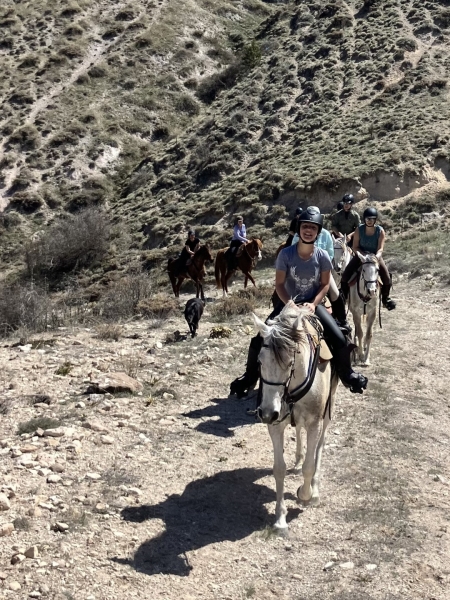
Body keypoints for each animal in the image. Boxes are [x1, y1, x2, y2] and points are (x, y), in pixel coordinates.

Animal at [253, 302, 338, 532]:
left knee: (320, 445)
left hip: (329, 407)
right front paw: (280, 519)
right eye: (259, 361)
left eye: (291, 361)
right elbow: (279, 469)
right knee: (298, 430)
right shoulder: (275, 424)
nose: (267, 413)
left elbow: (310, 465)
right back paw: (298, 460)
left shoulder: (315, 422)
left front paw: (305, 495)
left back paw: (315, 489)